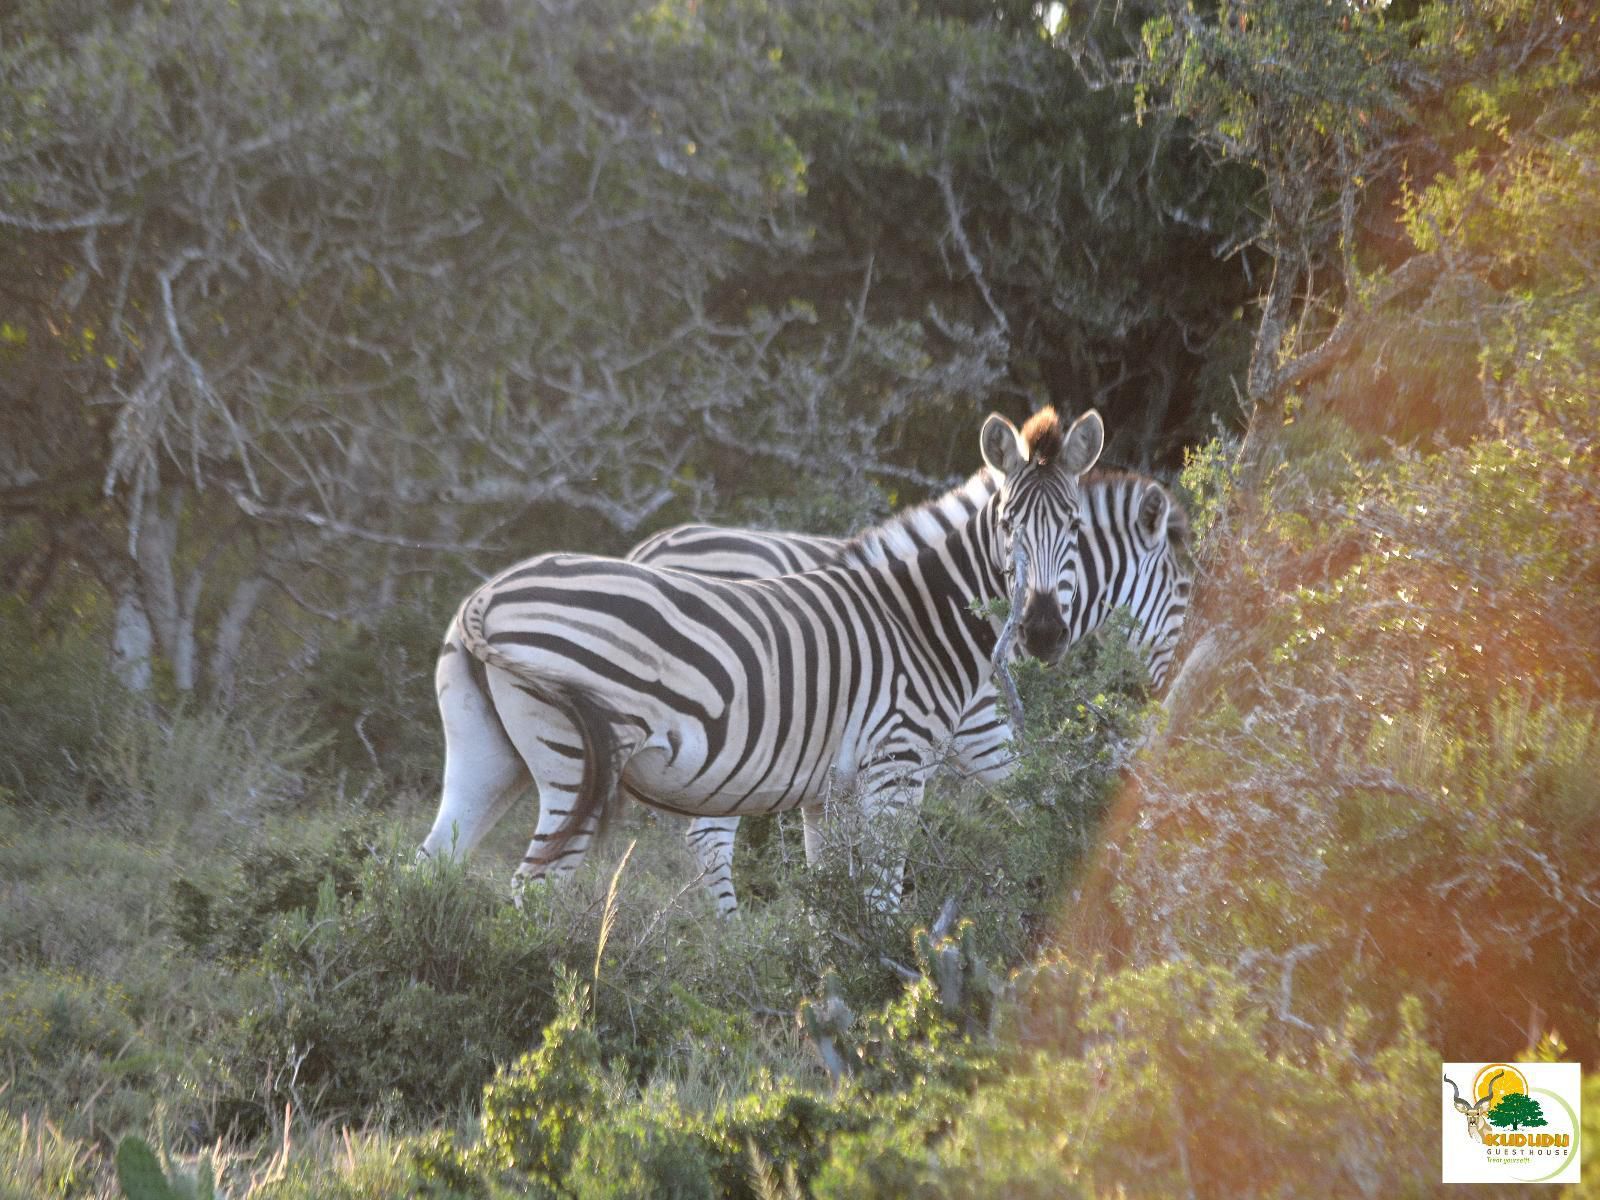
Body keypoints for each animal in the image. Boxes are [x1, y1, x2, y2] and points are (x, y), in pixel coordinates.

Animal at [419, 406, 1107, 908]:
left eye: (1075, 526)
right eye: (1009, 523)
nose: (1044, 630)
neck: (917, 617)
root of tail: (484, 598)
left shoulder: (831, 790)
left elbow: (830, 896)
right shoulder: (897, 761)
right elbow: (884, 891)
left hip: (486, 753)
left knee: (432, 862)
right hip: (575, 761)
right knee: (532, 887)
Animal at [624, 467, 1190, 908]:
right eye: (1187, 590)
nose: (1171, 687)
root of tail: (647, 548)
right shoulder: (968, 720)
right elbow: (1030, 786)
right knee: (709, 837)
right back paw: (733, 937)